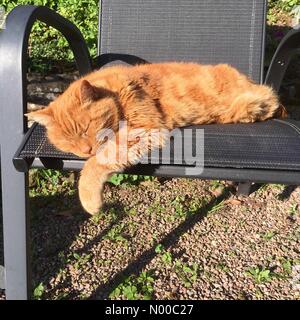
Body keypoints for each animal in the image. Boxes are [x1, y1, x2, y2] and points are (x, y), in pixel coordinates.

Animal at [26, 61, 286, 214]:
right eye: (67, 141)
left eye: (86, 128)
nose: (85, 150)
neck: (116, 92)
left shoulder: (142, 128)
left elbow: (97, 163)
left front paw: (89, 199)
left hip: (250, 104)